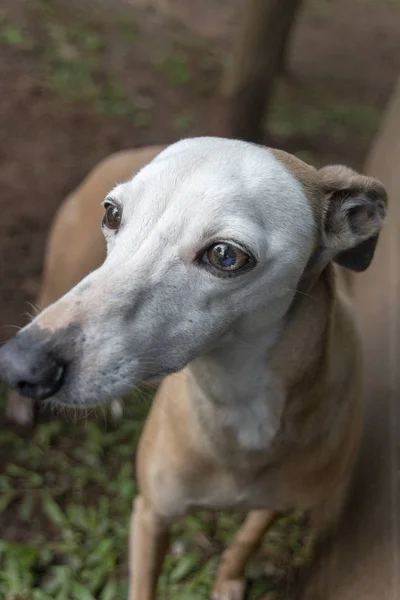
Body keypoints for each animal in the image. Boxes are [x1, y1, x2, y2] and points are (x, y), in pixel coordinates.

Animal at [0, 138, 388, 596]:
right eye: (113, 213)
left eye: (225, 254)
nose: (21, 366)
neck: (238, 410)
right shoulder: (151, 512)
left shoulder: (279, 505)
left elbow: (246, 539)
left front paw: (229, 580)